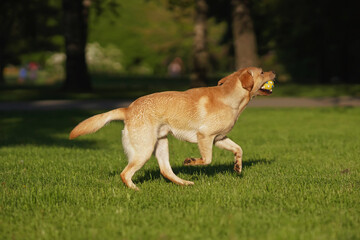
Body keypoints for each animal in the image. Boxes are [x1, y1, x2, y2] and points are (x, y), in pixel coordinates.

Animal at [69, 67, 276, 189]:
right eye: (262, 72)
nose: (274, 73)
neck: (231, 98)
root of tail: (128, 109)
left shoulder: (219, 138)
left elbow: (239, 149)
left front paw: (237, 167)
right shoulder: (205, 136)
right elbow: (207, 159)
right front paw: (190, 161)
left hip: (161, 144)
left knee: (165, 170)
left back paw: (184, 183)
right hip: (144, 149)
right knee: (125, 173)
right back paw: (135, 189)